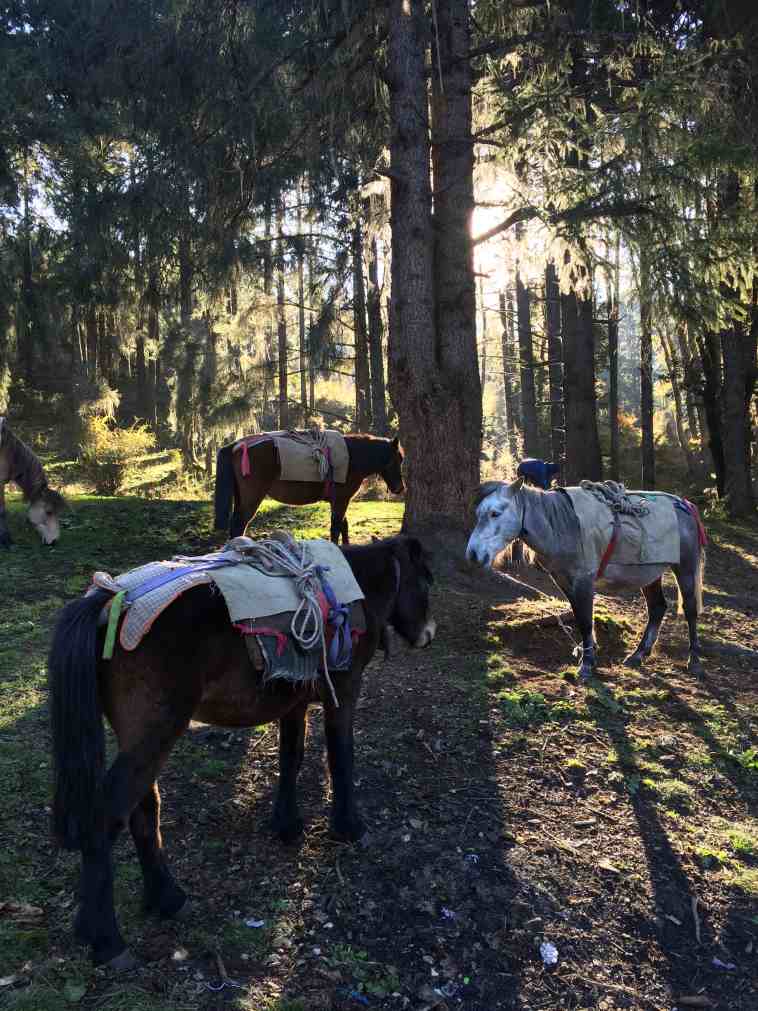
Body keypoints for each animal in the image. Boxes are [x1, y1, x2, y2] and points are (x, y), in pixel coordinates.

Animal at [47, 533, 436, 966]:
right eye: (426, 580)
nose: (429, 634)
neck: (356, 589)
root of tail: (110, 600)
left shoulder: (294, 702)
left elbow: (291, 757)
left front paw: (286, 824)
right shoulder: (344, 694)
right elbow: (340, 759)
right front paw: (349, 827)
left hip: (142, 742)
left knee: (144, 813)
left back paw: (166, 899)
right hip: (153, 737)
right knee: (108, 818)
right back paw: (106, 940)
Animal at [214, 434, 404, 545]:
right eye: (398, 459)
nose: (400, 488)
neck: (351, 457)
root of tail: (237, 446)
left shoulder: (339, 501)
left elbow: (343, 525)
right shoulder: (341, 500)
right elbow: (336, 527)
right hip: (251, 499)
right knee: (239, 525)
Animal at [466, 479, 711, 679]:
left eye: (495, 513)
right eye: (479, 514)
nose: (473, 554)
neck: (562, 525)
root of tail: (684, 505)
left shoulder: (583, 582)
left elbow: (585, 620)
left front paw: (586, 665)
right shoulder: (565, 583)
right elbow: (581, 618)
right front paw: (588, 657)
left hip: (685, 568)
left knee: (690, 610)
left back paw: (694, 661)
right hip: (650, 574)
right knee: (657, 608)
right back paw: (638, 655)